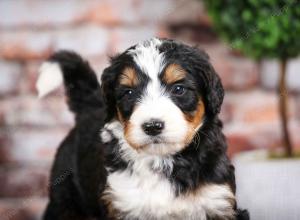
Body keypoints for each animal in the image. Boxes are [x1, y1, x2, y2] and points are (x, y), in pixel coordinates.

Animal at [37, 38, 248, 220]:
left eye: (178, 89)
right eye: (129, 93)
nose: (153, 126)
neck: (161, 159)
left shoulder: (218, 201)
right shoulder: (120, 203)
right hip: (64, 199)